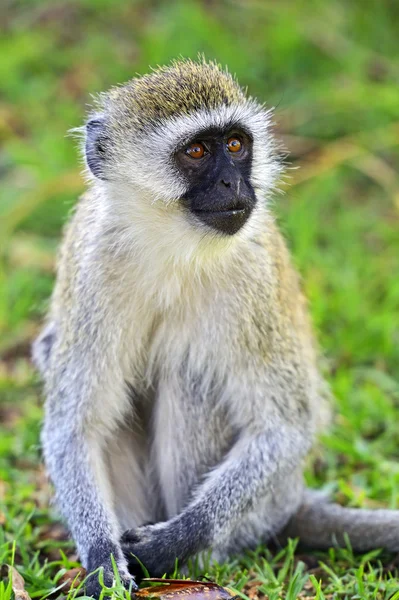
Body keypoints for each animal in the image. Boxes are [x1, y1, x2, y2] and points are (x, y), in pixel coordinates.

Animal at [33, 59, 399, 596]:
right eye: (197, 151)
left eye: (235, 145)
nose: (233, 186)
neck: (171, 246)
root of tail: (292, 498)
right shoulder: (93, 266)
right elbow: (76, 427)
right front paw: (102, 560)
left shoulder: (254, 275)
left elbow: (283, 427)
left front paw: (175, 540)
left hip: (262, 510)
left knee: (190, 374)